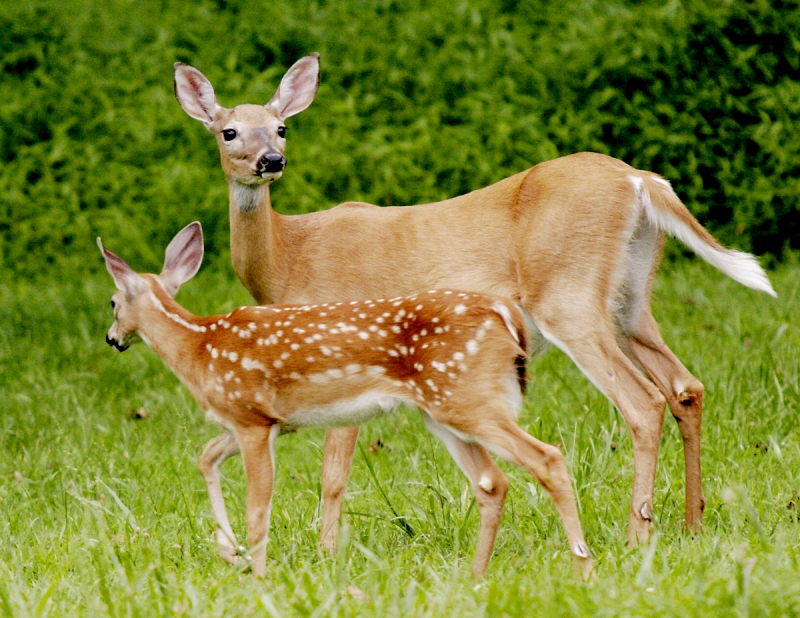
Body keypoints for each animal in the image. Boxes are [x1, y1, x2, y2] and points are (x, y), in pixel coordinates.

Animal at [98, 221, 593, 578]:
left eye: (112, 302)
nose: (111, 339)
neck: (200, 348)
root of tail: (505, 314)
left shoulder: (252, 418)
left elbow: (258, 508)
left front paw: (256, 575)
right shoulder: (267, 421)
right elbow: (206, 457)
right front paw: (230, 553)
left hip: (467, 398)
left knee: (547, 458)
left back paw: (582, 565)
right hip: (446, 410)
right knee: (493, 482)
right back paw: (475, 575)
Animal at [173, 53, 776, 556]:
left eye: (282, 126)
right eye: (229, 131)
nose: (271, 160)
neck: (288, 259)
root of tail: (641, 180)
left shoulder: (342, 345)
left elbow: (333, 474)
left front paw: (325, 554)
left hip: (568, 295)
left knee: (642, 402)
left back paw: (636, 537)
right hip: (630, 298)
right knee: (685, 387)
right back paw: (691, 525)